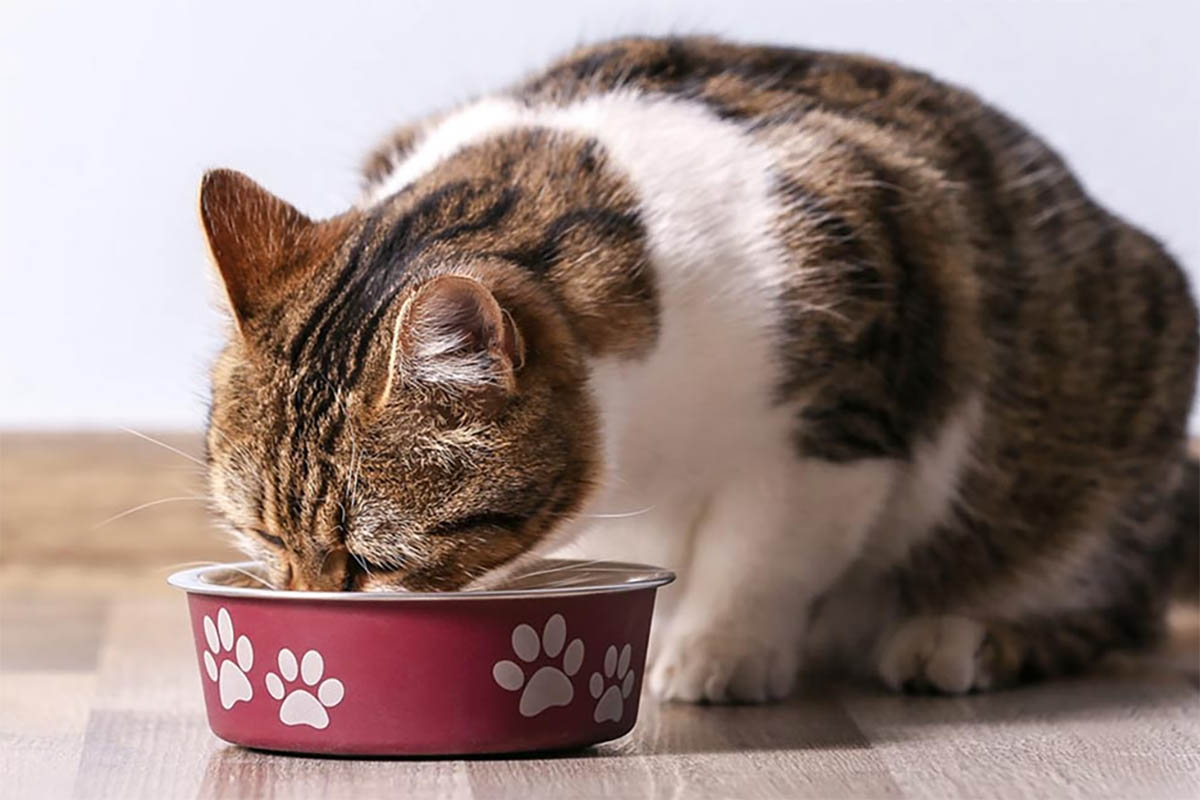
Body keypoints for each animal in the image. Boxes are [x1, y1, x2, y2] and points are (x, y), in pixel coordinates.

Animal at [201, 37, 1195, 700]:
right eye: (261, 536)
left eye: (374, 560)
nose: (304, 611)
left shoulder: (839, 410)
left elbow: (765, 549)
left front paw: (719, 654)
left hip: (1102, 426)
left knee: (1113, 604)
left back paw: (962, 639)